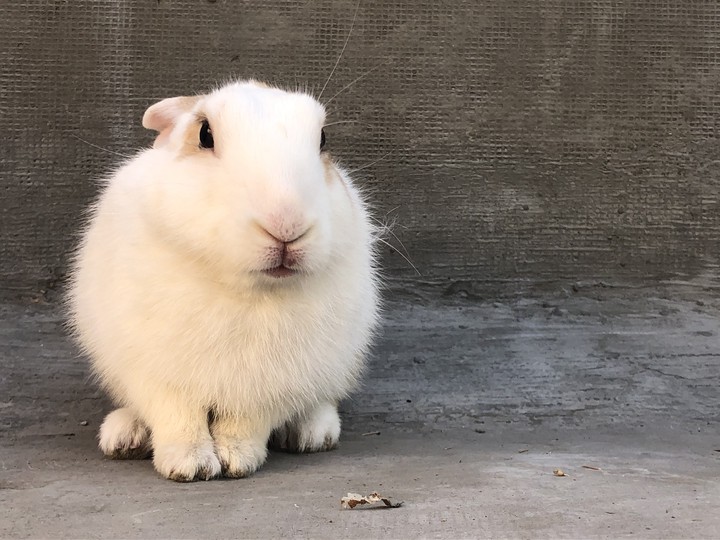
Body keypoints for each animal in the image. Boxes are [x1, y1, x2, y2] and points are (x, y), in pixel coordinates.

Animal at [67, 80, 380, 482]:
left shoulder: (270, 385)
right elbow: (178, 418)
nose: (286, 224)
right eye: (205, 134)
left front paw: (237, 460)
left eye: (323, 139)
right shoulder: (156, 372)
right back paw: (124, 436)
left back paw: (312, 432)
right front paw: (189, 465)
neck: (246, 290)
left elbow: (245, 423)